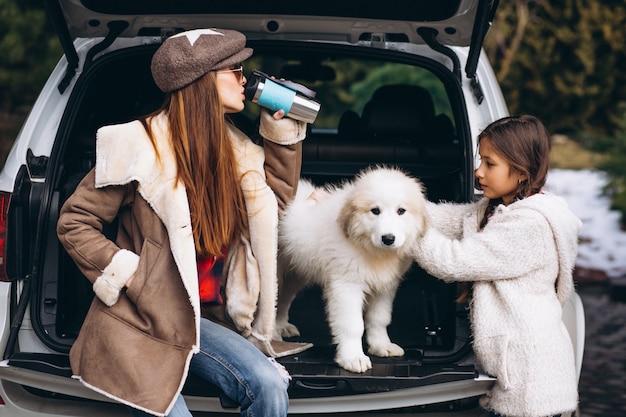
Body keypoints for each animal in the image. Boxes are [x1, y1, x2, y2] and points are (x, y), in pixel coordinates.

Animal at [276, 164, 426, 372]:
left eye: (401, 211)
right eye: (375, 211)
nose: (388, 239)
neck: (374, 252)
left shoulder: (385, 287)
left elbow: (379, 318)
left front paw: (381, 345)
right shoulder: (346, 286)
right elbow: (352, 325)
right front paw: (353, 357)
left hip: (295, 272)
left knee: (283, 299)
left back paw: (281, 326)